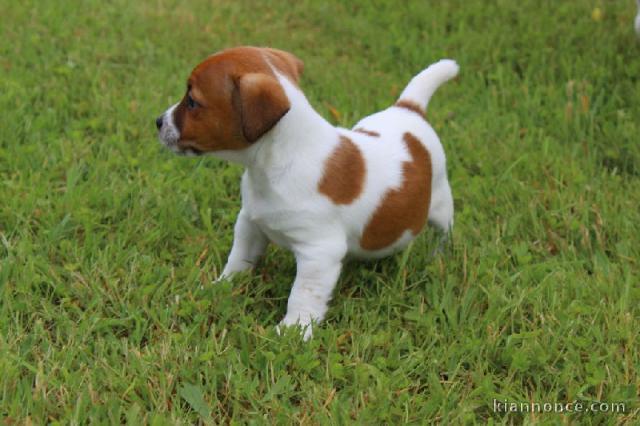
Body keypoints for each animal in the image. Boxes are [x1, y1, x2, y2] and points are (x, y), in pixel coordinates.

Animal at [159, 46, 460, 340]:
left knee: (444, 232)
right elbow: (238, 260)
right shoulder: (251, 225)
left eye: (192, 101)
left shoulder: (319, 252)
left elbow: (302, 295)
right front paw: (220, 287)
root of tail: (409, 110)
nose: (158, 121)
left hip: (439, 204)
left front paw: (293, 329)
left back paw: (439, 257)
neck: (274, 164)